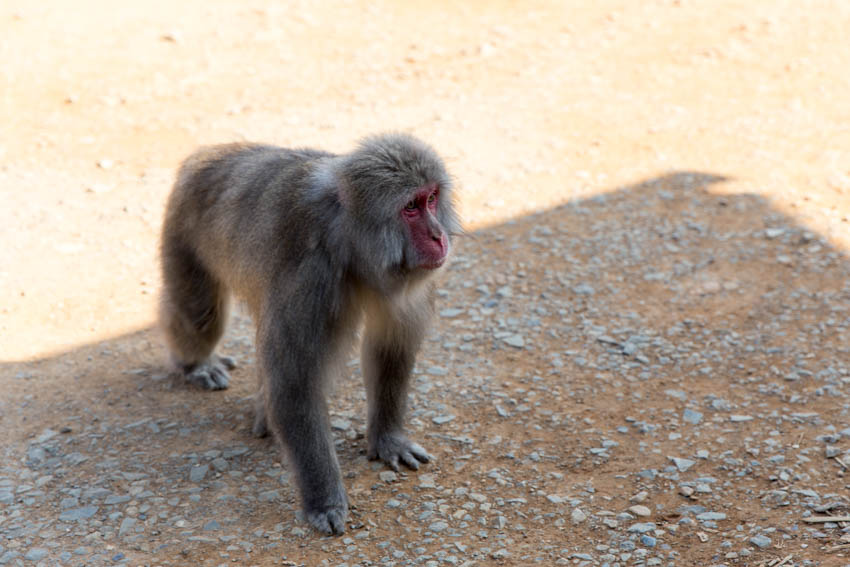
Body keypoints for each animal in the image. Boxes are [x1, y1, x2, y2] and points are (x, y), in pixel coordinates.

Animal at [161, 134, 460, 536]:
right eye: (410, 208)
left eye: (431, 199)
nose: (438, 236)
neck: (348, 240)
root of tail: (211, 152)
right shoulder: (308, 276)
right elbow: (295, 384)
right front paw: (324, 501)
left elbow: (390, 349)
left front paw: (388, 439)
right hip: (184, 225)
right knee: (200, 315)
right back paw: (196, 363)